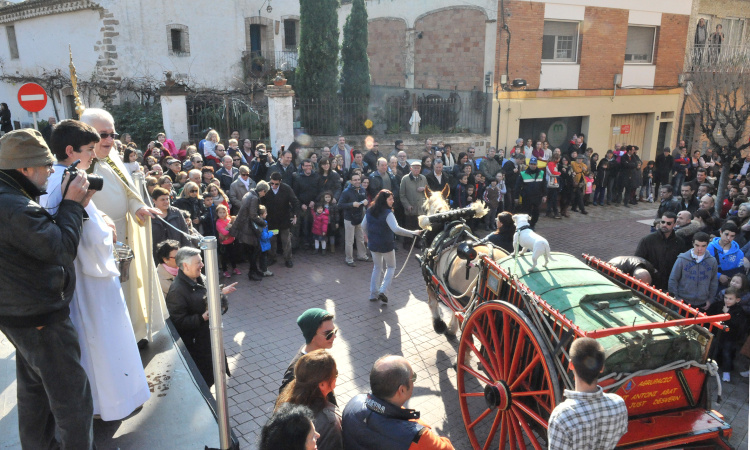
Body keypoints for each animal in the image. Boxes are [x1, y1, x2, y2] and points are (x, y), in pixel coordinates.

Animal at [418, 187, 506, 338]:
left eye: (425, 207)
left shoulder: (430, 279)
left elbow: (433, 303)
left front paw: (439, 324)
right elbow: (455, 310)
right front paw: (451, 328)